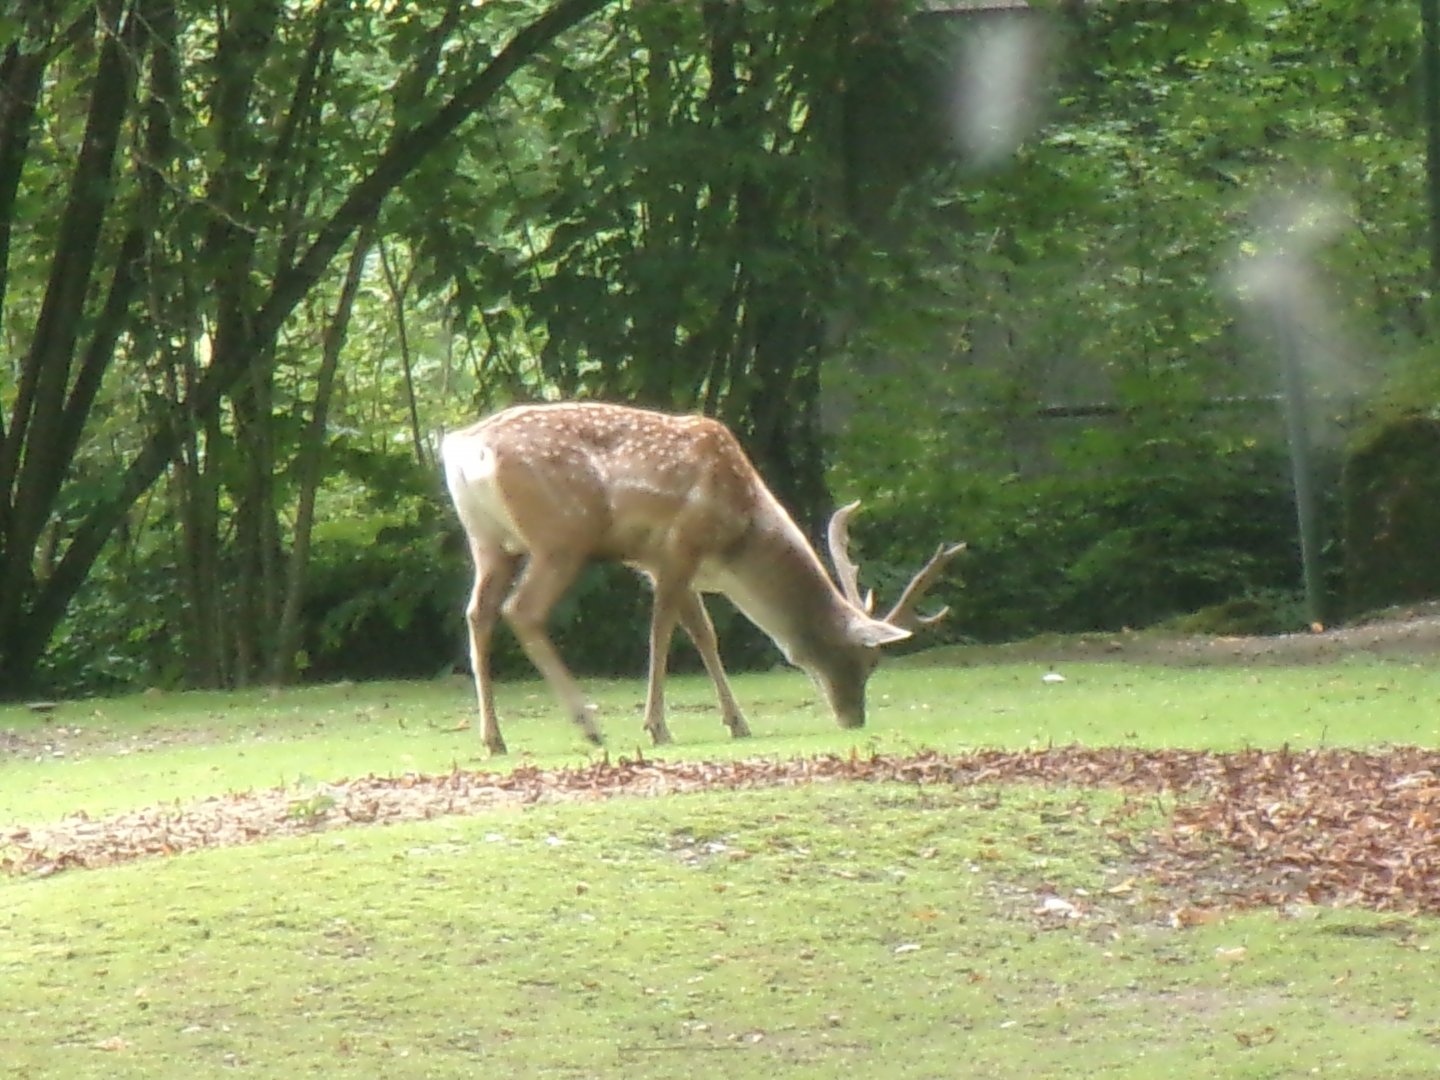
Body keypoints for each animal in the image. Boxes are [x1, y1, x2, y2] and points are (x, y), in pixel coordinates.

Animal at [440, 401, 964, 755]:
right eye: (866, 661)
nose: (853, 718)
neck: (741, 541)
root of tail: (462, 448)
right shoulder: (680, 546)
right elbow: (662, 632)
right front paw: (657, 727)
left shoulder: (666, 562)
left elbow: (704, 634)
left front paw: (737, 721)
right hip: (562, 535)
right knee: (521, 610)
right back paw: (588, 724)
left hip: (490, 542)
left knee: (478, 613)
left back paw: (494, 739)